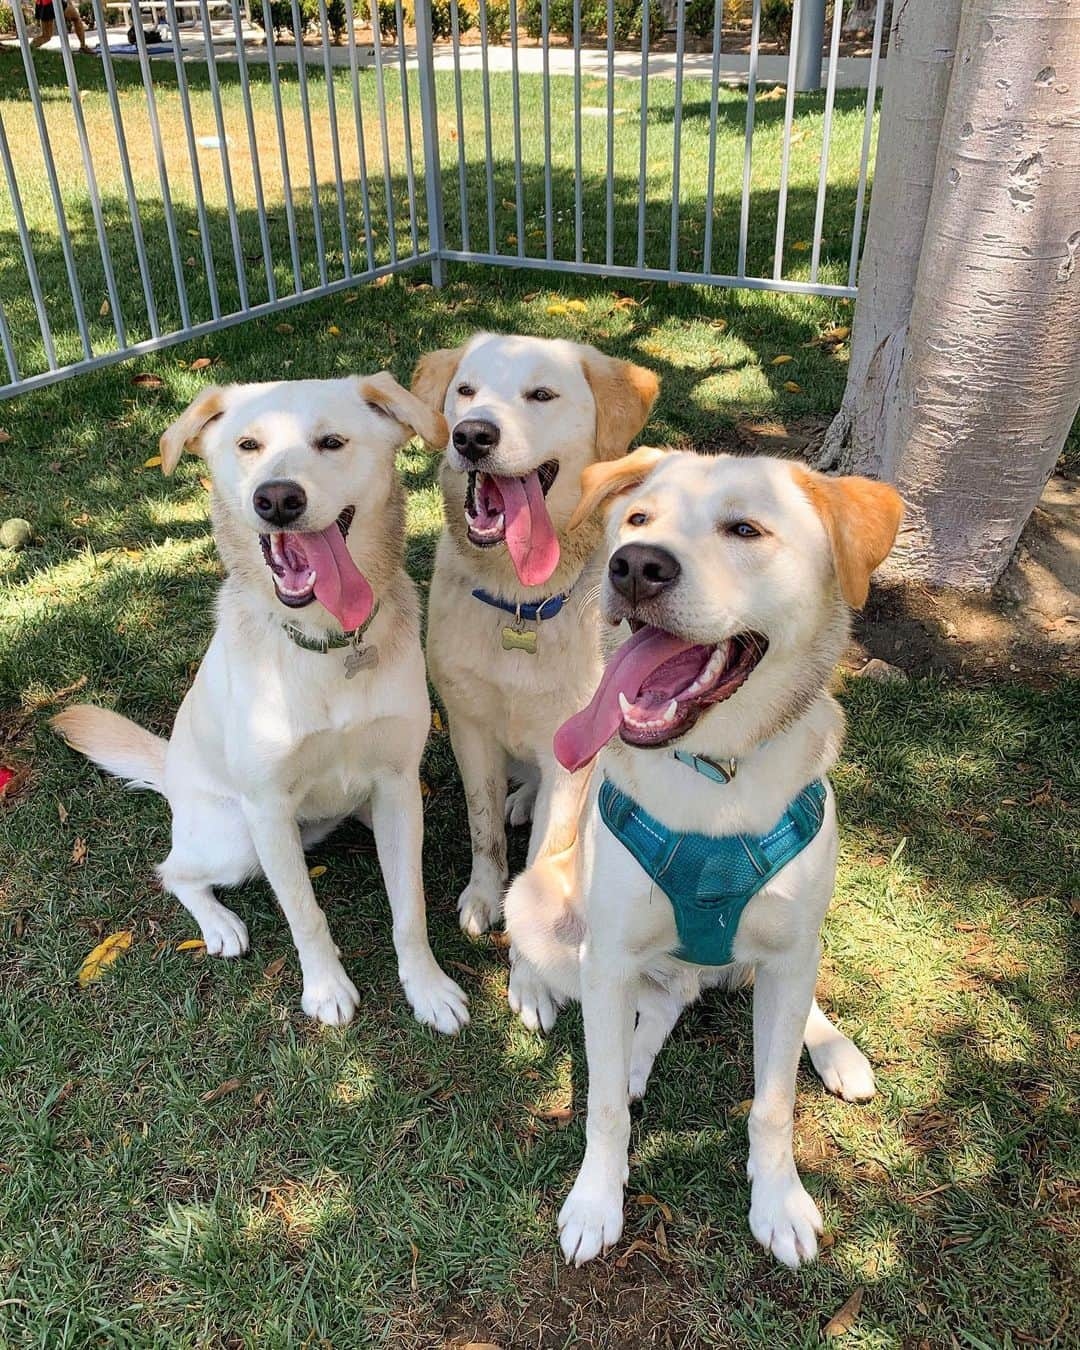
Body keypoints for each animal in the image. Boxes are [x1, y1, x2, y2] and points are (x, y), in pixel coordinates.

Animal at [54, 375, 467, 1026]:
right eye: (249, 445)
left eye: (331, 441)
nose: (276, 499)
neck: (326, 644)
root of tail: (171, 773)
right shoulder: (268, 808)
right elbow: (304, 912)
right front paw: (325, 989)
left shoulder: (399, 786)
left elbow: (410, 907)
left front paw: (426, 987)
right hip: (237, 840)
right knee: (174, 871)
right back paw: (219, 924)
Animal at [410, 332, 653, 977]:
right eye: (466, 391)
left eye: (541, 395)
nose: (471, 435)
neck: (521, 601)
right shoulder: (468, 725)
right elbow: (483, 826)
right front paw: (482, 894)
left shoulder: (571, 754)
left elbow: (548, 851)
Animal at [507, 448, 901, 1269]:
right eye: (637, 518)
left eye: (744, 529)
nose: (634, 566)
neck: (712, 773)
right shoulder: (610, 955)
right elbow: (601, 1108)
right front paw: (596, 1201)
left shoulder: (789, 950)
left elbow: (774, 1104)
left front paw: (778, 1201)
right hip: (549, 916)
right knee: (637, 997)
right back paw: (570, 1018)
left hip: (784, 953)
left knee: (696, 999)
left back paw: (832, 1048)